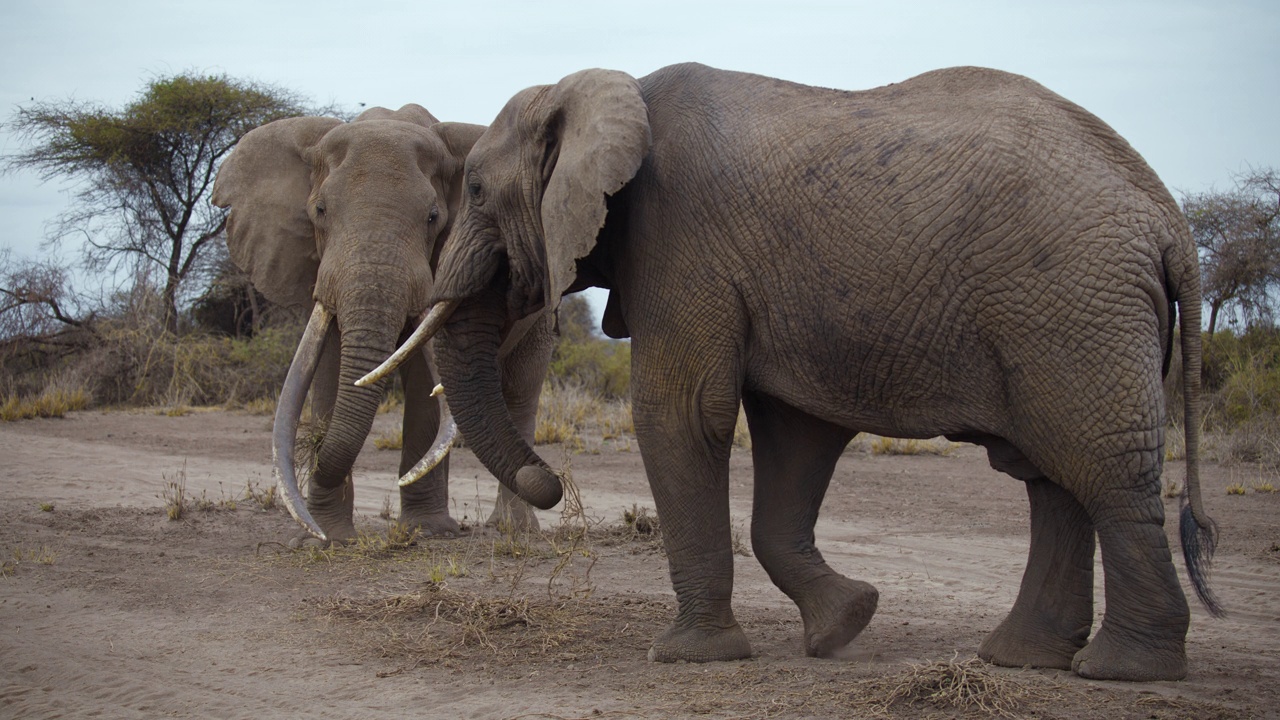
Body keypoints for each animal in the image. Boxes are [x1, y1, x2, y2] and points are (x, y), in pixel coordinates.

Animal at [212, 103, 552, 543]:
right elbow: (329, 368)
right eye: (319, 211)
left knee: (521, 390)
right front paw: (327, 538)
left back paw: (513, 528)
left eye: (433, 217)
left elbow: (424, 381)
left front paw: (427, 532)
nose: (314, 450)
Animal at [381, 63, 1218, 676]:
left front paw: (688, 657)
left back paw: (1123, 669)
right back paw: (1024, 660)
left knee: (1100, 470)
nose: (549, 483)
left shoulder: (682, 242)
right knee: (1055, 477)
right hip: (1066, 314)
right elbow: (795, 438)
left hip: (1073, 307)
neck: (602, 90)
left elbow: (681, 414)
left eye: (477, 190)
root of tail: (1168, 219)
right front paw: (845, 625)